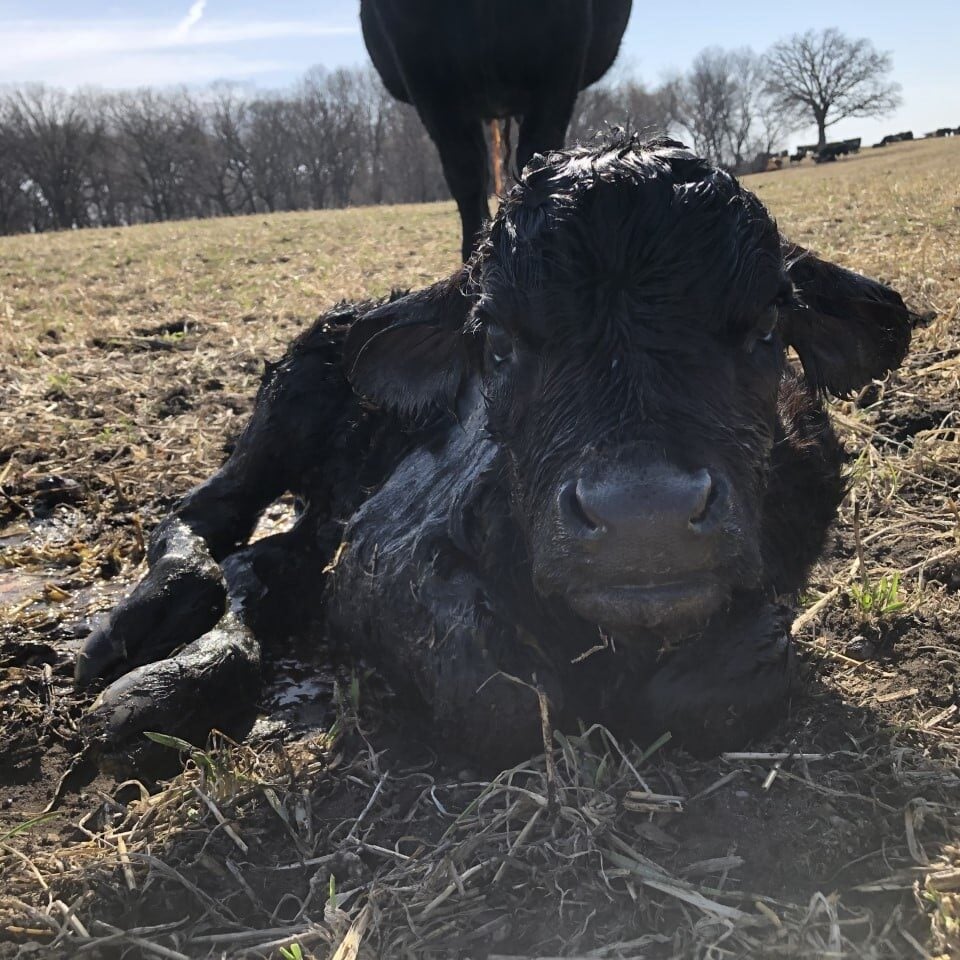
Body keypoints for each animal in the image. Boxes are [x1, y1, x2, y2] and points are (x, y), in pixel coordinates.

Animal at [75, 137, 913, 776]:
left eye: (768, 327)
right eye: (499, 343)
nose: (645, 521)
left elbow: (715, 692)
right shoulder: (379, 562)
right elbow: (509, 702)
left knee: (256, 563)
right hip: (284, 411)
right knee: (205, 520)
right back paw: (141, 655)